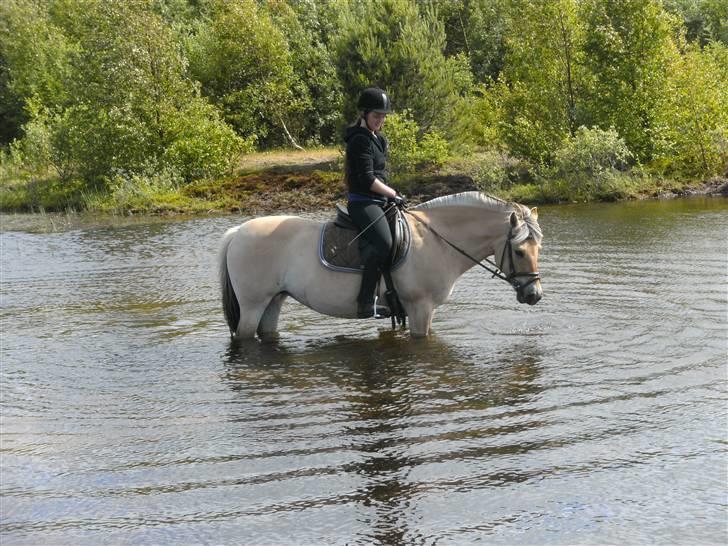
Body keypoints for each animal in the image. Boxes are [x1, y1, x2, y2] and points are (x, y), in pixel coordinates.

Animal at [219, 190, 544, 336]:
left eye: (538, 247)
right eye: (518, 251)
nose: (534, 295)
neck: (436, 239)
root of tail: (238, 233)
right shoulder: (420, 308)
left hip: (274, 300)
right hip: (252, 305)